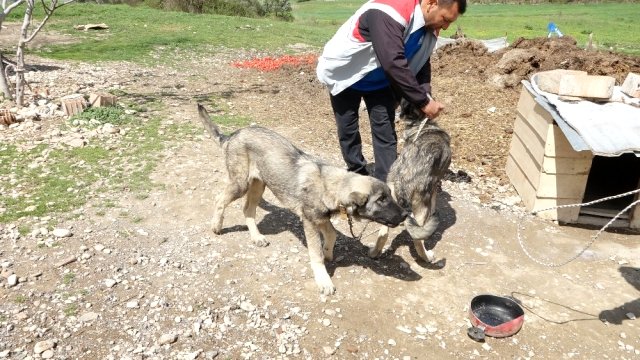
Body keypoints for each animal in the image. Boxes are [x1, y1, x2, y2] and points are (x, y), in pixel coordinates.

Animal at [198, 104, 404, 296]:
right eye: (381, 199)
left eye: (389, 195)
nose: (404, 215)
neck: (330, 184)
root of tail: (232, 136)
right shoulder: (310, 222)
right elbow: (316, 253)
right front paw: (323, 279)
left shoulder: (321, 218)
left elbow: (332, 234)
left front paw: (328, 253)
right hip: (241, 184)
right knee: (219, 199)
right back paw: (217, 225)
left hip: (259, 185)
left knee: (248, 209)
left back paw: (256, 238)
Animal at [368, 98, 452, 262]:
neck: (419, 124)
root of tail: (401, 180)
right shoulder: (434, 187)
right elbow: (434, 202)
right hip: (420, 207)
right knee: (417, 238)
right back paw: (427, 257)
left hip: (389, 203)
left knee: (383, 234)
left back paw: (374, 253)